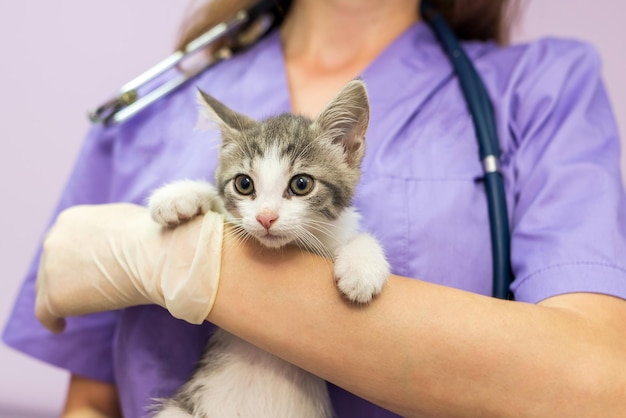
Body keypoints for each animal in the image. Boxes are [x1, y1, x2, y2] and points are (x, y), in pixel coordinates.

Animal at [148, 80, 388, 416]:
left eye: (301, 184)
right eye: (244, 184)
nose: (265, 217)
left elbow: (358, 237)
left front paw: (361, 270)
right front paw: (178, 196)